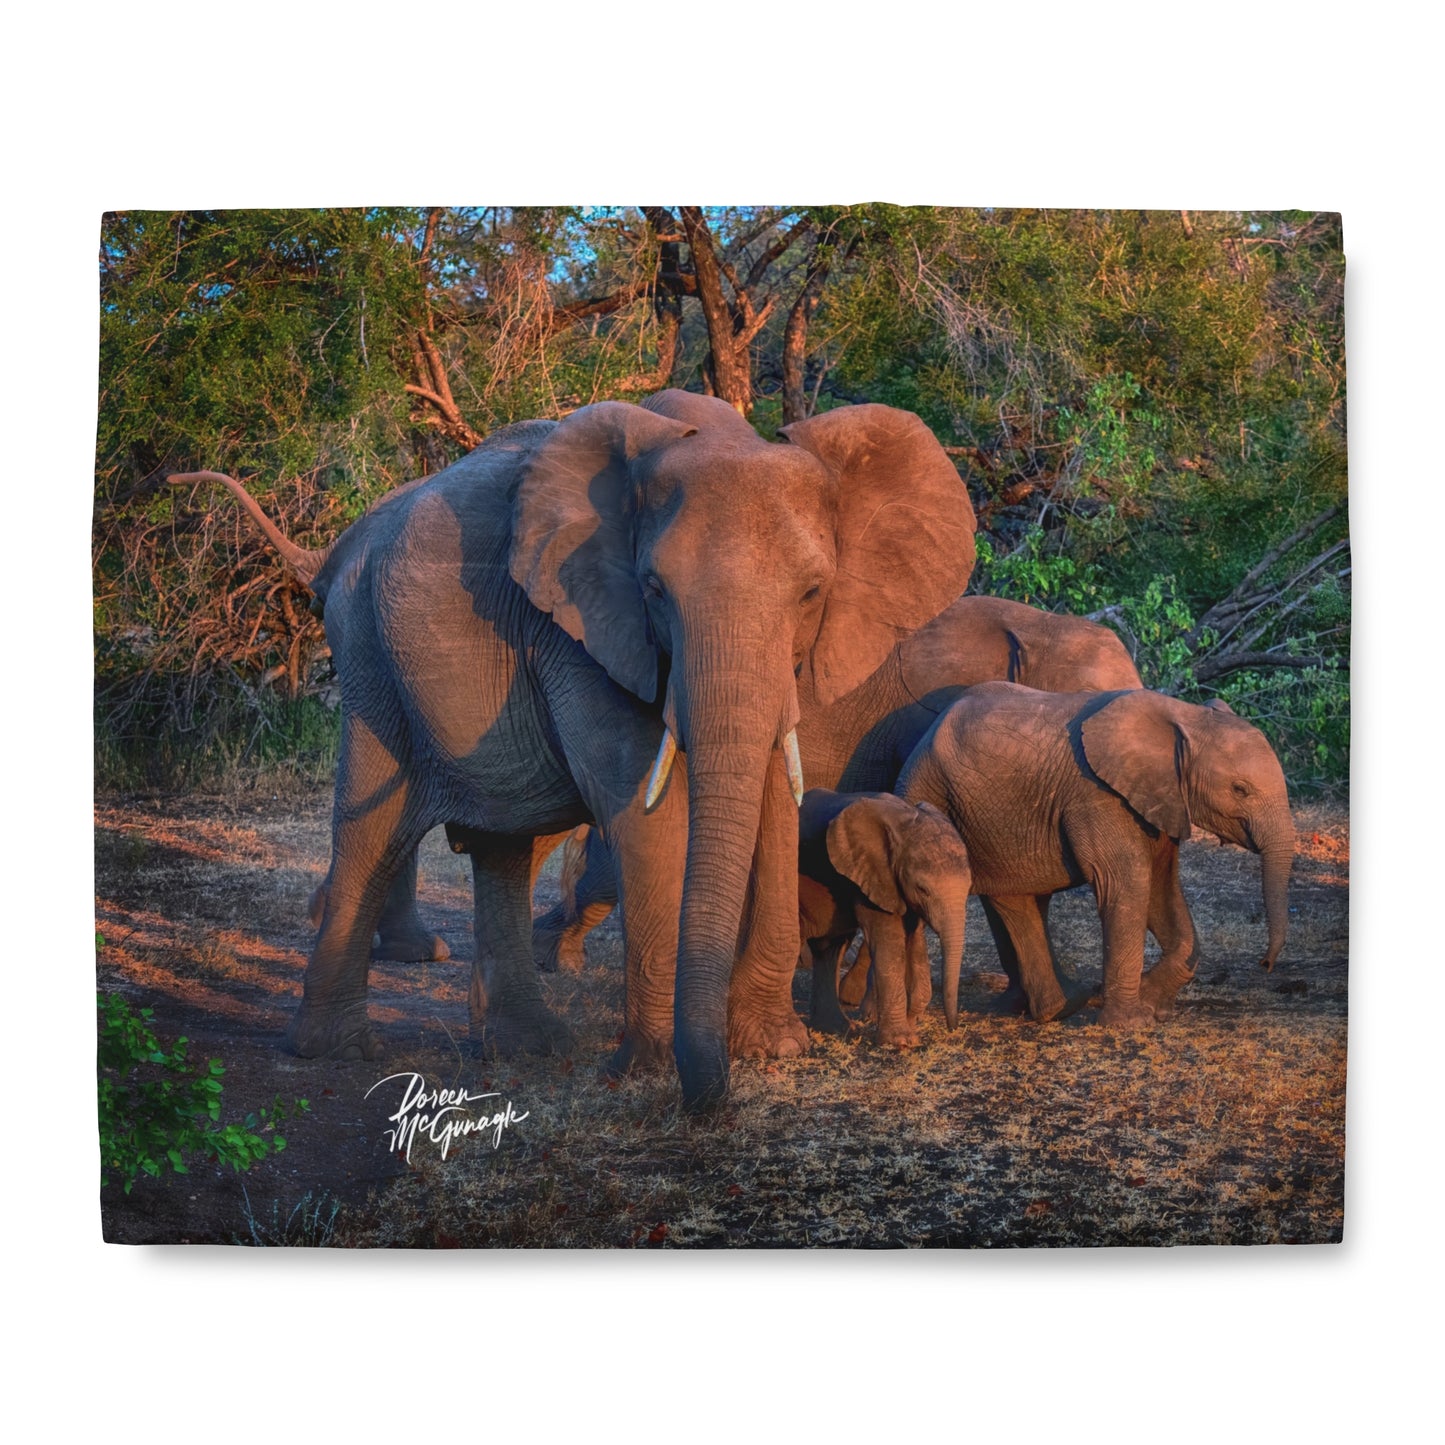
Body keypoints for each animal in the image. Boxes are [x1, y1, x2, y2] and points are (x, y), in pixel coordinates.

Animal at [797, 790, 971, 1047]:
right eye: (923, 889)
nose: (954, 1028)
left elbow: (914, 939)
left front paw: (912, 1027)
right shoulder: (872, 876)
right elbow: (888, 940)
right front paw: (901, 1042)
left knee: (829, 949)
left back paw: (839, 1028)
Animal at [894, 683, 1295, 1026]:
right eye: (1240, 789)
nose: (1265, 963)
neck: (1184, 715)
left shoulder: (1161, 800)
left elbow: (1162, 888)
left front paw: (1153, 1005)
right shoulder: (1098, 795)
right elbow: (1128, 882)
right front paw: (1130, 1023)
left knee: (1015, 899)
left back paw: (1060, 1005)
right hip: (935, 794)